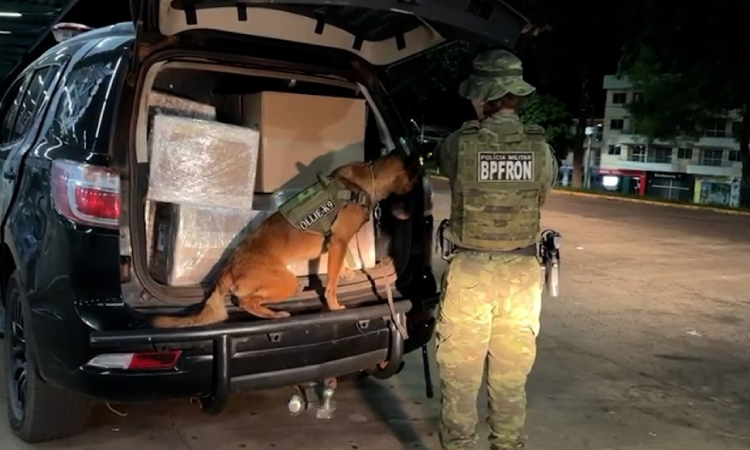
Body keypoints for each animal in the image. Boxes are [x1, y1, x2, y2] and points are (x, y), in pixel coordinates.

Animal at [150, 153, 420, 328]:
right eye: (414, 180)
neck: (367, 181)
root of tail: (228, 268)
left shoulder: (337, 243)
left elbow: (340, 263)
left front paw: (345, 272)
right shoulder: (339, 241)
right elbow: (331, 282)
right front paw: (333, 304)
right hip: (284, 281)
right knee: (246, 301)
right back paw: (273, 314)